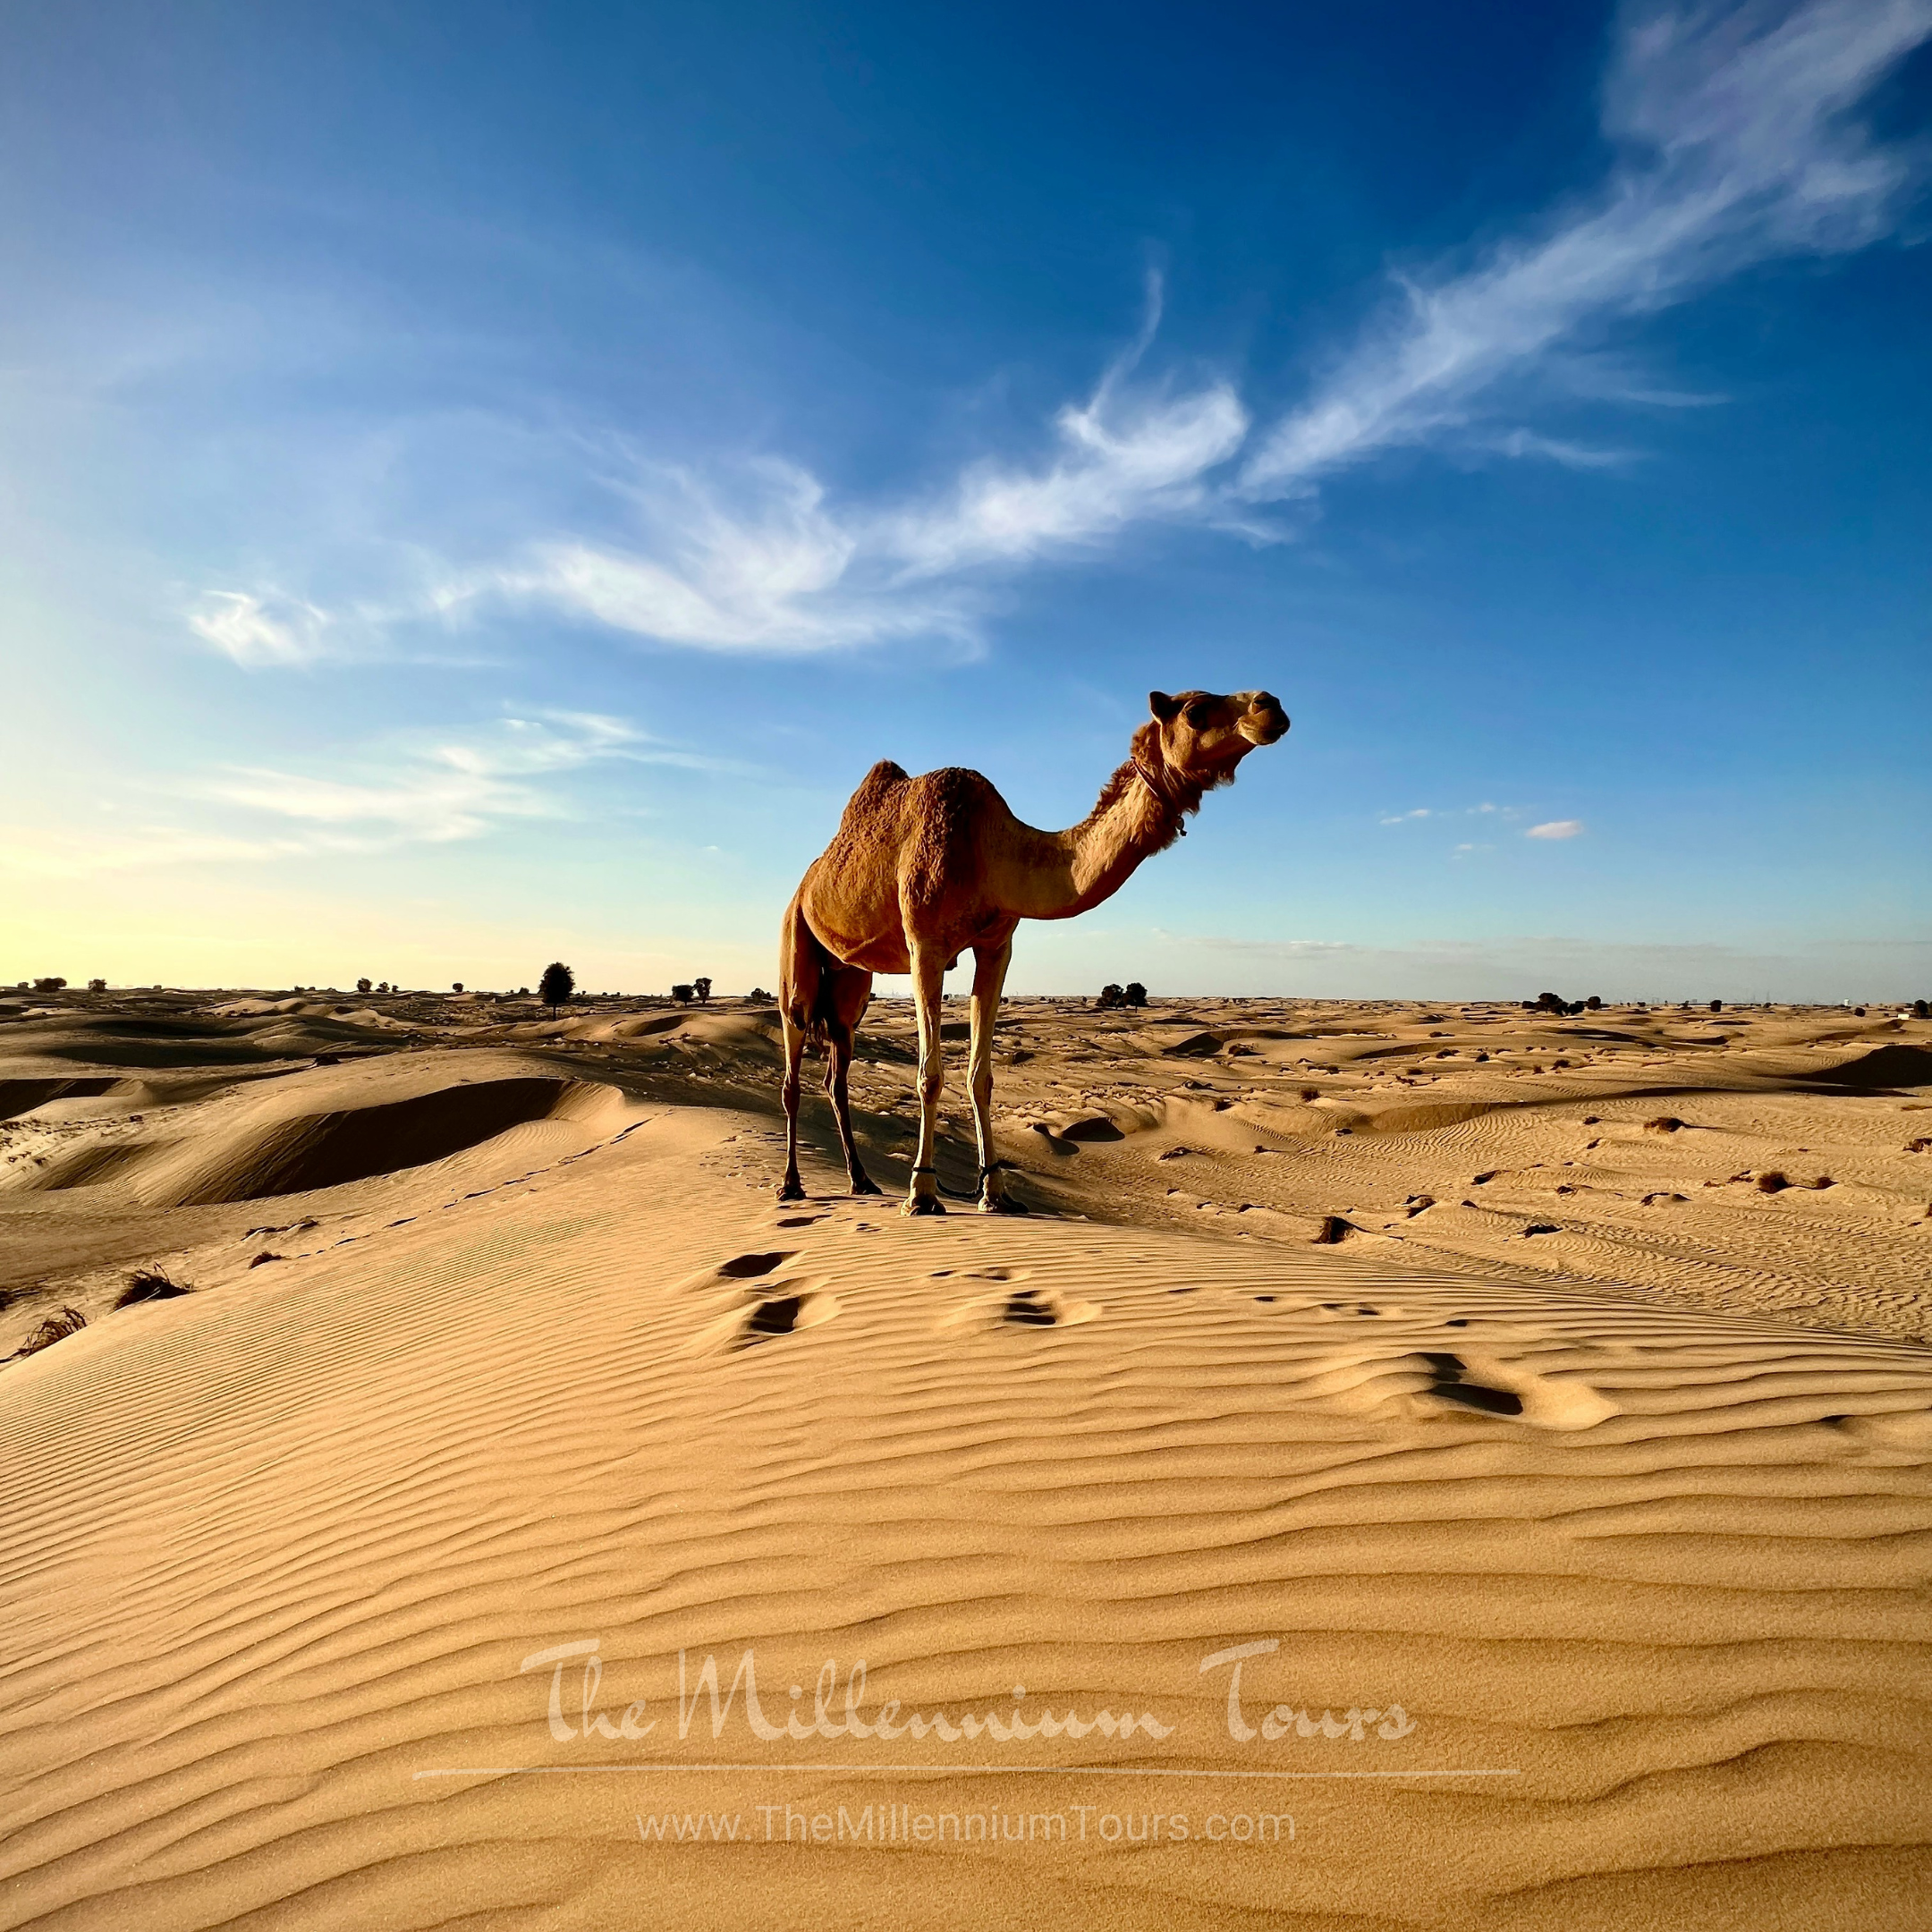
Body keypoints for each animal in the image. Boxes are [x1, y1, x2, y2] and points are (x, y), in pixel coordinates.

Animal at [776, 691, 1290, 1205]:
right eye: (1195, 712)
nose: (1271, 706)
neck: (987, 850)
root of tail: (805, 884)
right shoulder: (925, 944)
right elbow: (930, 1075)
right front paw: (922, 1191)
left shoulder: (996, 946)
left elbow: (981, 1076)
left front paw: (994, 1190)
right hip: (795, 938)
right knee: (793, 1057)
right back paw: (792, 1184)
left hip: (850, 980)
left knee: (837, 1071)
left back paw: (861, 1179)